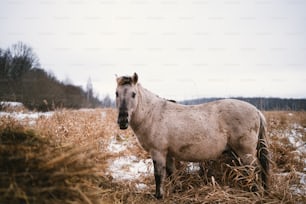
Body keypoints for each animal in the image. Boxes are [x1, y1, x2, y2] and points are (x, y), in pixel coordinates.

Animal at [115, 72, 270, 198]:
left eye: (133, 94)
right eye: (116, 93)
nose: (122, 120)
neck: (152, 114)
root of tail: (256, 111)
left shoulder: (158, 152)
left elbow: (159, 175)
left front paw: (159, 196)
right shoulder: (168, 153)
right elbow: (171, 173)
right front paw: (176, 189)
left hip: (245, 153)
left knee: (255, 170)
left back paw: (256, 191)